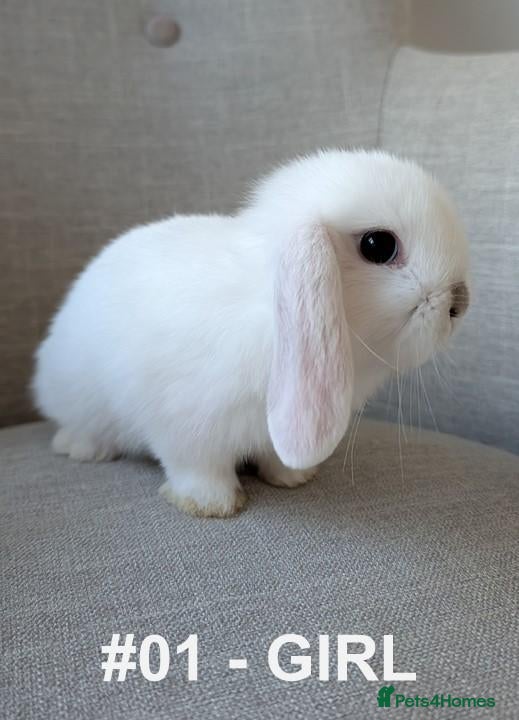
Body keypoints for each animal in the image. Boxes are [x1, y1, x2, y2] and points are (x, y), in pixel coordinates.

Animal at [32, 149, 470, 517]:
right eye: (378, 245)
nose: (459, 304)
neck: (267, 308)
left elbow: (275, 456)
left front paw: (293, 477)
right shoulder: (185, 426)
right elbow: (196, 467)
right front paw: (212, 504)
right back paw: (83, 448)